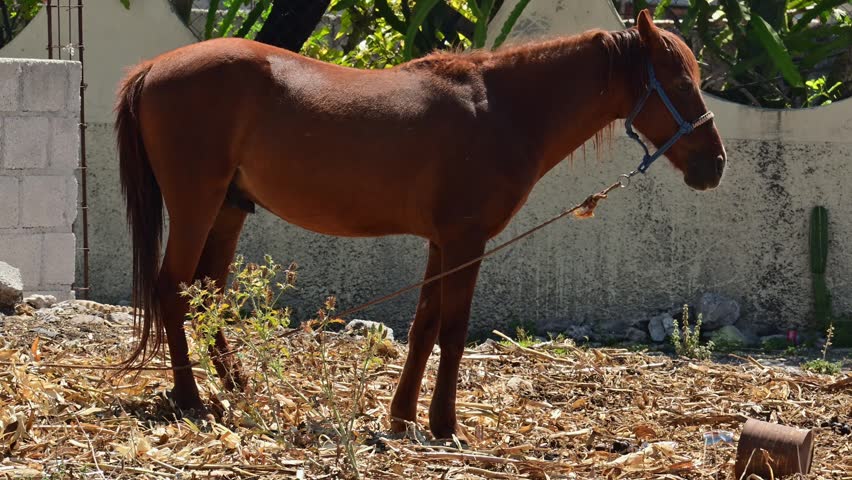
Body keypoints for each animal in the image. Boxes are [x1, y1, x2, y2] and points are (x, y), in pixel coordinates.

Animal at [115, 9, 726, 439]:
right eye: (678, 82)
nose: (714, 165)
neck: (500, 110)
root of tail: (154, 68)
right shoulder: (465, 242)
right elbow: (452, 332)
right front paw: (444, 426)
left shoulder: (442, 242)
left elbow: (423, 327)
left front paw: (403, 417)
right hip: (197, 204)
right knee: (174, 289)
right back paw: (191, 398)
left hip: (228, 208)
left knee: (208, 290)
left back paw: (235, 384)